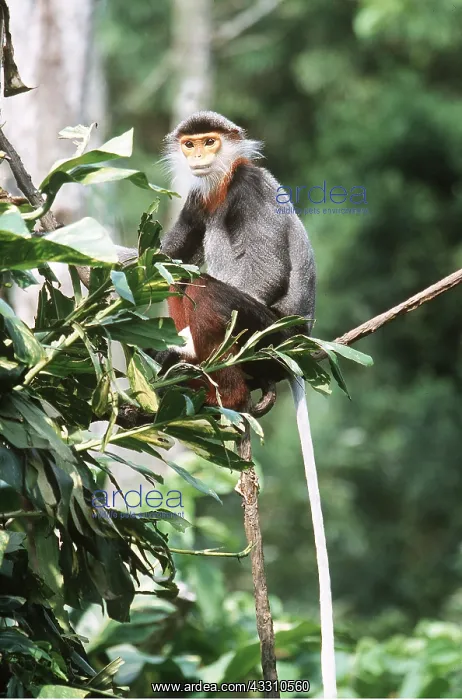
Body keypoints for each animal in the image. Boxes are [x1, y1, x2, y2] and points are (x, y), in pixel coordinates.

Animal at [158, 111, 337, 699]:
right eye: (191, 143)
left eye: (210, 142)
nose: (198, 155)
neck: (220, 182)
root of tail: (296, 351)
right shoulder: (197, 200)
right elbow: (163, 257)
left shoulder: (247, 190)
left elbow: (259, 267)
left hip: (266, 333)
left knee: (202, 287)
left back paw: (221, 384)